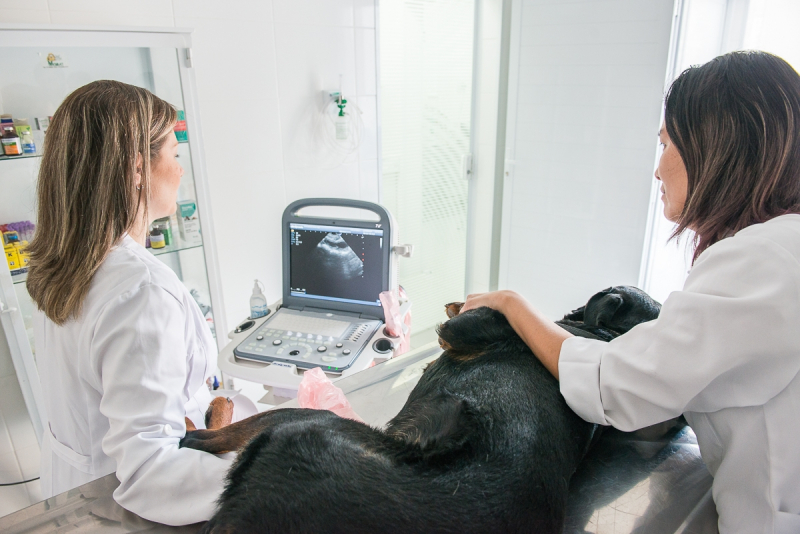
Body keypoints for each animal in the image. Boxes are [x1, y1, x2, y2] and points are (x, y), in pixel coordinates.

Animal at [183, 286, 664, 532]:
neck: (605, 335)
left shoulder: (469, 329)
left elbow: (475, 311)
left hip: (307, 424)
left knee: (201, 439)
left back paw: (211, 408)